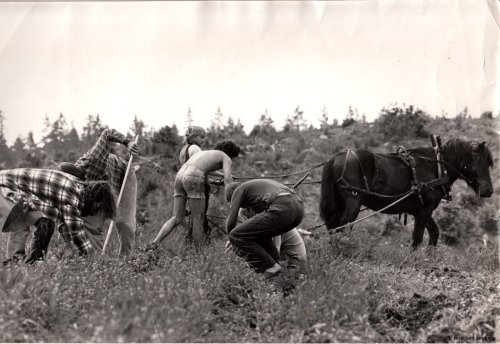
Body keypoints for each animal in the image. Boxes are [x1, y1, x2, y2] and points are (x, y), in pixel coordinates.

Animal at [320, 138, 492, 249]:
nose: (489, 190)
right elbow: (417, 239)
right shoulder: (424, 210)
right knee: (341, 226)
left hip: (340, 204)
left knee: (333, 226)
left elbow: (434, 233)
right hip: (353, 202)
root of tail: (337, 157)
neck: (436, 166)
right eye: (481, 162)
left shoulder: (421, 210)